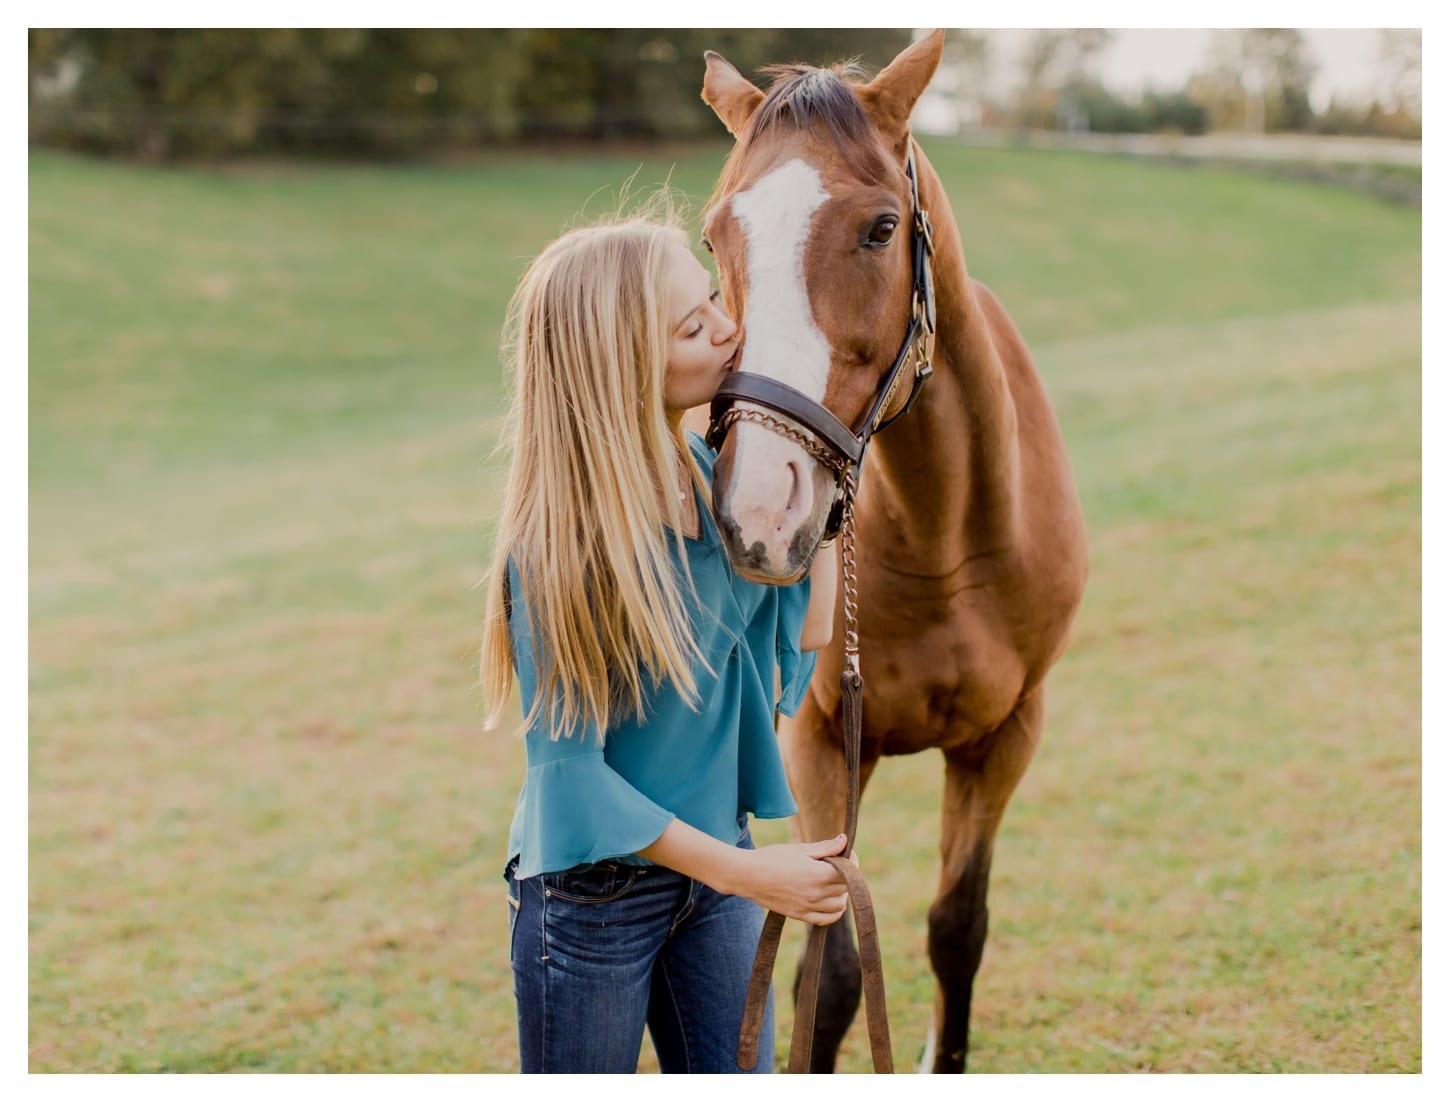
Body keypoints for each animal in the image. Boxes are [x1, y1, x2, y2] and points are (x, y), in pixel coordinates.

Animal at [701, 30, 1090, 1073]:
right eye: (715, 236)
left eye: (881, 230)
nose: (760, 507)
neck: (946, 536)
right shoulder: (824, 743)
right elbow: (828, 975)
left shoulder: (1007, 737)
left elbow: (958, 928)